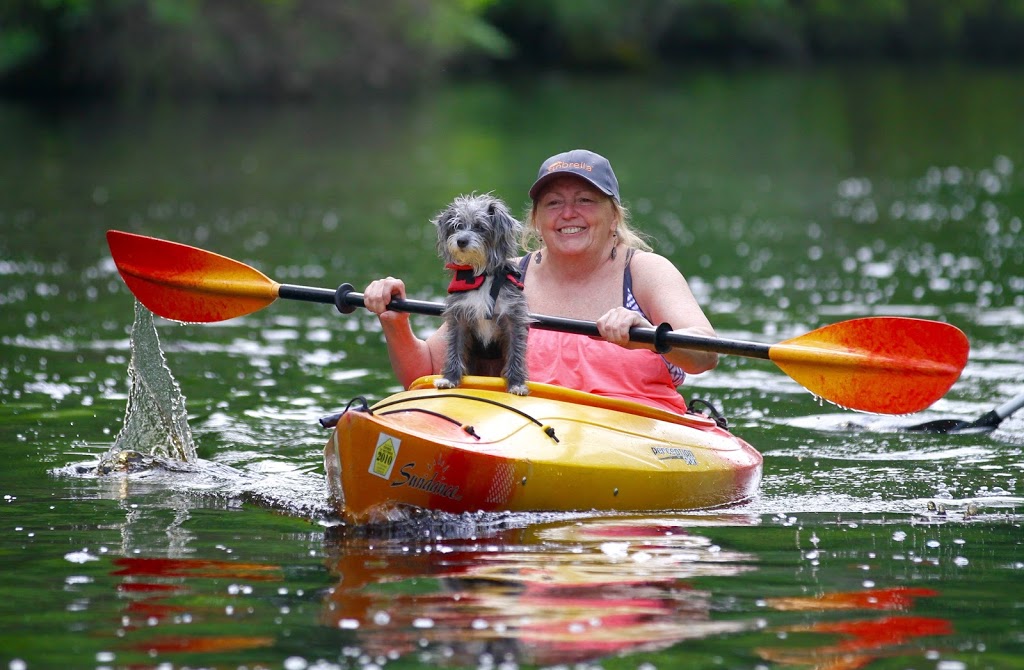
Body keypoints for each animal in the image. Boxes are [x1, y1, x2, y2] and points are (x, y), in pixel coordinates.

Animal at [432, 191, 532, 395]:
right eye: (457, 226)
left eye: (480, 227)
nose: (461, 241)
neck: (483, 274)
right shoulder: (459, 317)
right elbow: (454, 348)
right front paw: (449, 378)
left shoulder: (513, 318)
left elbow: (515, 352)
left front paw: (516, 383)